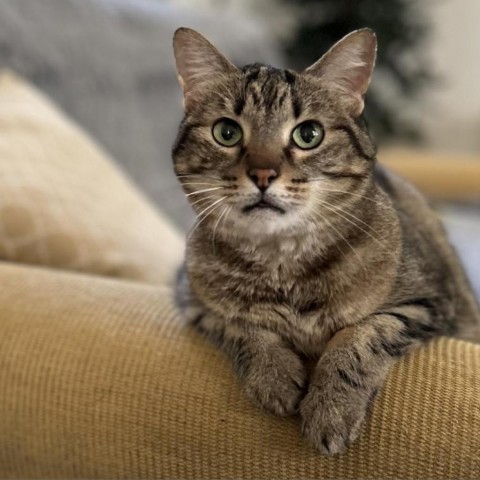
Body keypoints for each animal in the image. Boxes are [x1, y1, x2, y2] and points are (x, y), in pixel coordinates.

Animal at [171, 26, 478, 454]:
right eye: (226, 132)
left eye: (308, 134)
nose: (263, 174)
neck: (282, 265)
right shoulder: (192, 297)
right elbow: (241, 325)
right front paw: (274, 375)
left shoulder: (427, 302)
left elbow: (361, 336)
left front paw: (330, 408)